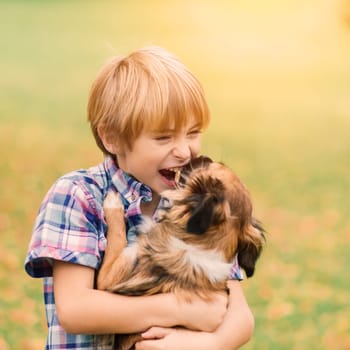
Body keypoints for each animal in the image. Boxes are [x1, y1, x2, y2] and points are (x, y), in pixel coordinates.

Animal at [95, 157, 266, 350]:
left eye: (210, 166)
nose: (203, 157)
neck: (198, 245)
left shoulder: (110, 275)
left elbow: (117, 237)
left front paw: (113, 202)